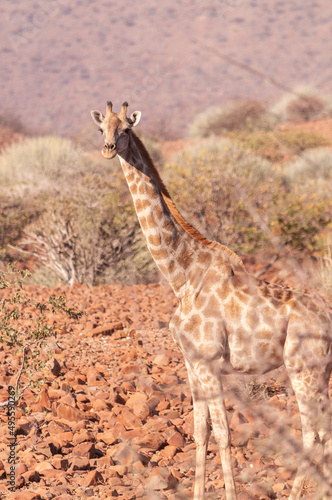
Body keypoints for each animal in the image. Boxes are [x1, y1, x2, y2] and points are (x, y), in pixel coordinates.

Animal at [91, 99, 332, 498]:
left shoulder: (210, 361)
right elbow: (200, 432)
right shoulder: (191, 362)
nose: (109, 149)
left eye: (126, 129)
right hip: (321, 370)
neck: (182, 275)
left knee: (312, 433)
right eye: (101, 129)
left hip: (303, 367)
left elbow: (222, 434)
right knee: (323, 432)